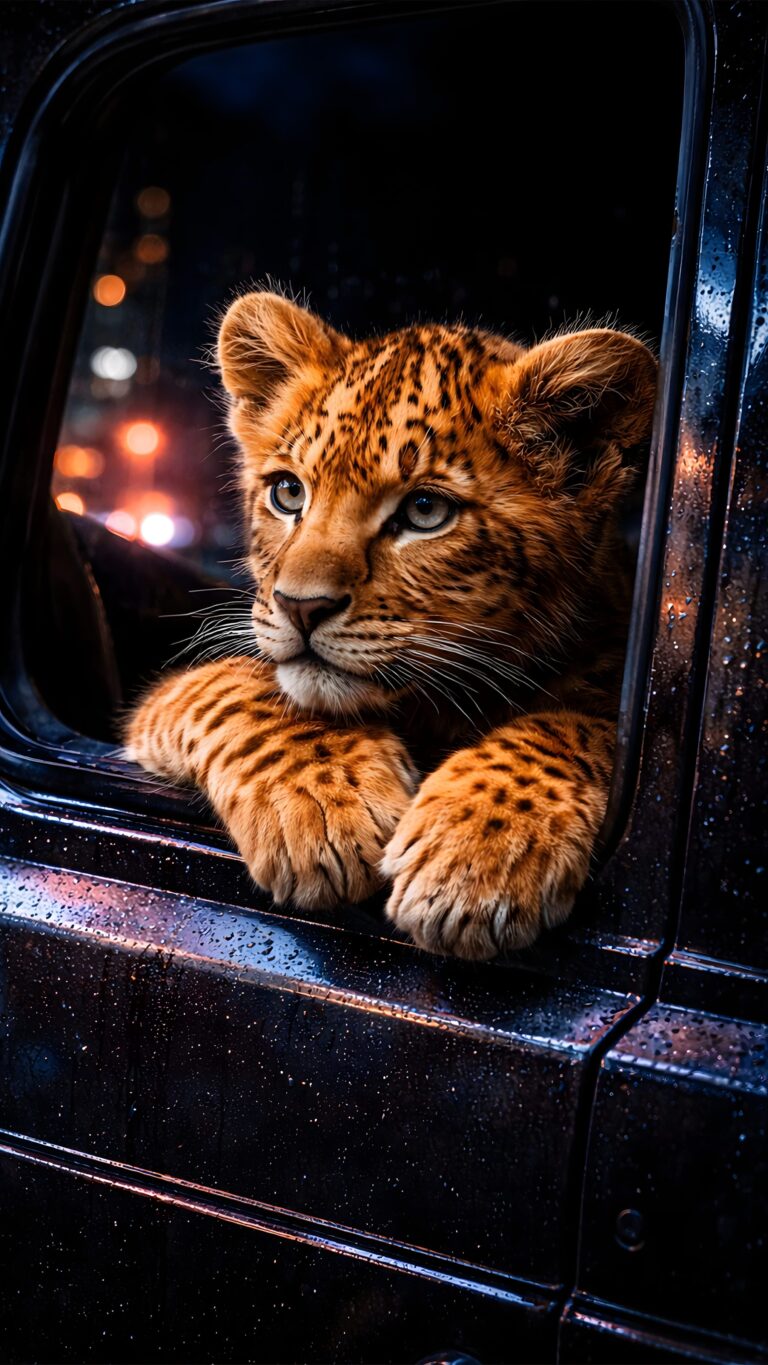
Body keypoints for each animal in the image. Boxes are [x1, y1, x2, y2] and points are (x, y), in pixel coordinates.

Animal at [125, 288, 656, 960]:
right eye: (288, 493)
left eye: (425, 511)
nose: (300, 606)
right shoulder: (163, 702)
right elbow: (239, 685)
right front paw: (323, 807)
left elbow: (579, 726)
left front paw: (472, 857)